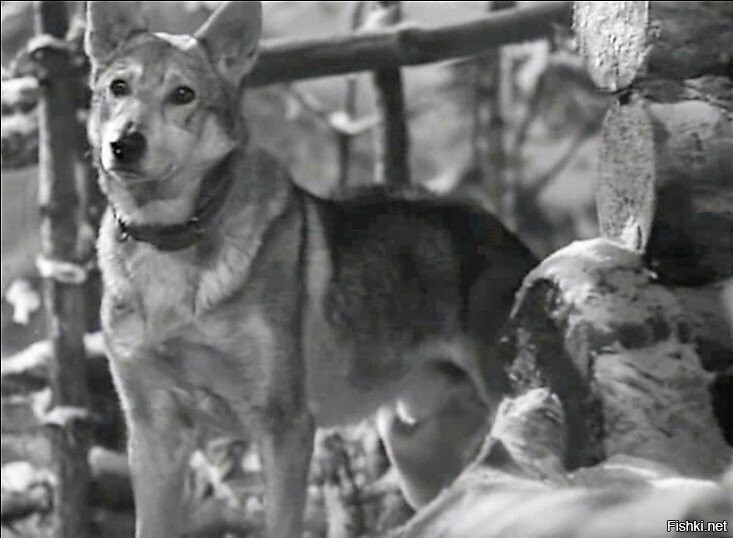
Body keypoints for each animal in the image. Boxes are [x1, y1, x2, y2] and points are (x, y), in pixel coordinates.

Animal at [86, 2, 536, 532]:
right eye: (119, 87)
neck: (169, 246)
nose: (125, 144)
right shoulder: (155, 432)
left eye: (182, 94)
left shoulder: (286, 428)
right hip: (412, 452)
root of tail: (509, 236)